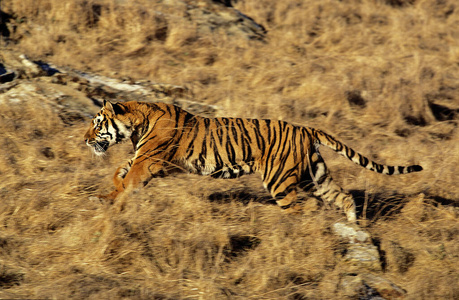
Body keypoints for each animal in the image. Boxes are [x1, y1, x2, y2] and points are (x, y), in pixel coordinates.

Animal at [83, 99, 424, 221]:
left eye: (97, 124)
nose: (85, 139)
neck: (138, 121)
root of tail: (307, 128)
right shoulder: (152, 161)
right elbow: (120, 172)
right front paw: (107, 194)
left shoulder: (150, 161)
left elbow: (129, 179)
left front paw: (113, 201)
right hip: (313, 175)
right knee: (343, 197)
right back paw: (354, 229)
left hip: (280, 180)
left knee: (297, 209)